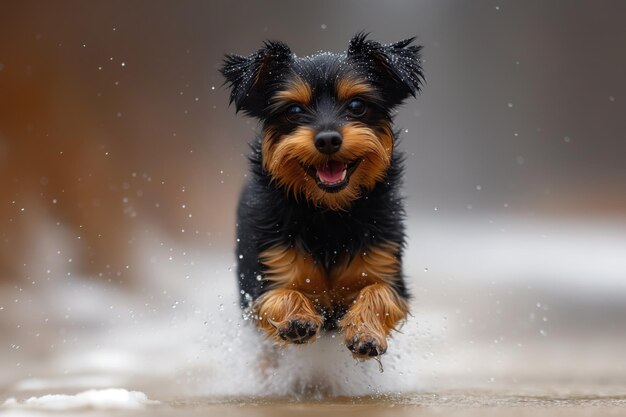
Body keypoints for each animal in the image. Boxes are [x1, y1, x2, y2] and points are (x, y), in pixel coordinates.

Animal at [221, 33, 424, 358]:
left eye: (357, 105)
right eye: (293, 111)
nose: (328, 139)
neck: (328, 213)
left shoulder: (386, 268)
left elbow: (378, 291)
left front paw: (365, 333)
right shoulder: (265, 275)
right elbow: (281, 294)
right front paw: (297, 319)